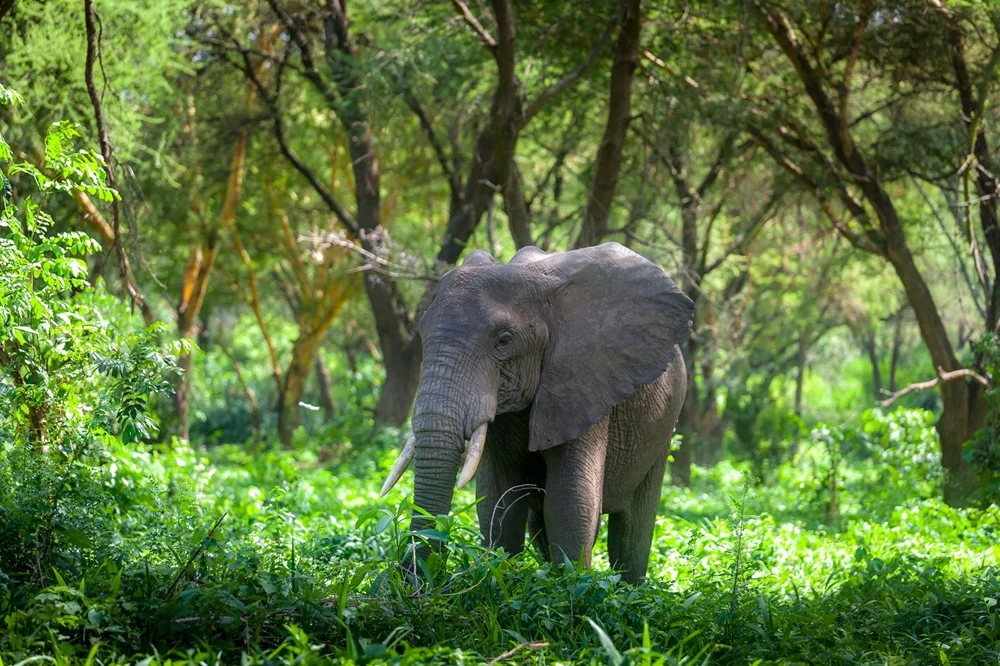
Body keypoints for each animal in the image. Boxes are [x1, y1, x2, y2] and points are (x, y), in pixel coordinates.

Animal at [380, 242, 694, 584]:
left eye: (503, 341)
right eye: (421, 333)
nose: (412, 578)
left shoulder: (582, 381)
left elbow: (570, 501)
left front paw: (572, 585)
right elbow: (497, 499)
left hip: (666, 419)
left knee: (633, 527)